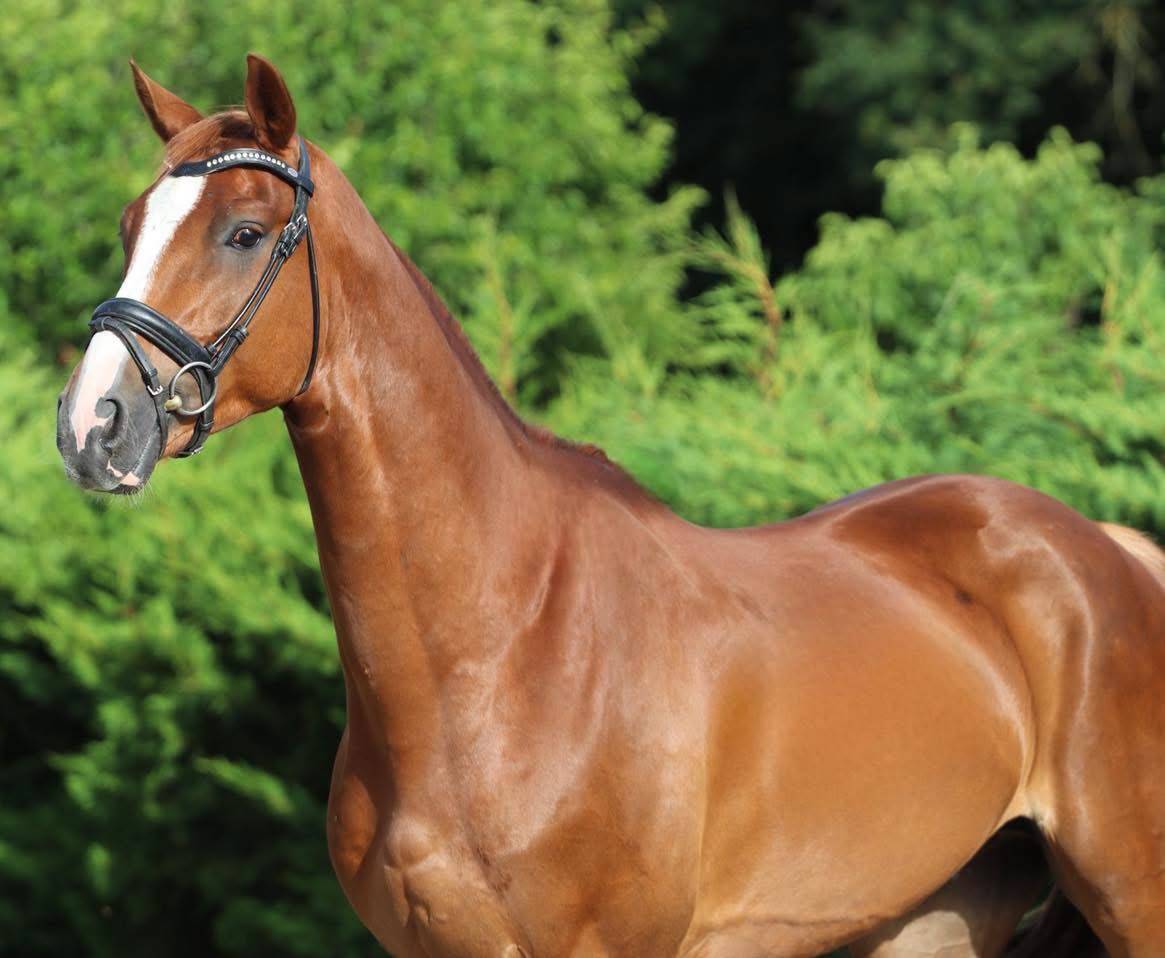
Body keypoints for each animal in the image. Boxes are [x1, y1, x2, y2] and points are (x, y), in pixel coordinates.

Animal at [56, 56, 1164, 957]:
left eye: (243, 233)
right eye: (127, 229)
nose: (91, 426)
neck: (496, 652)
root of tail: (1108, 553)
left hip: (1130, 890)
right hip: (932, 913)